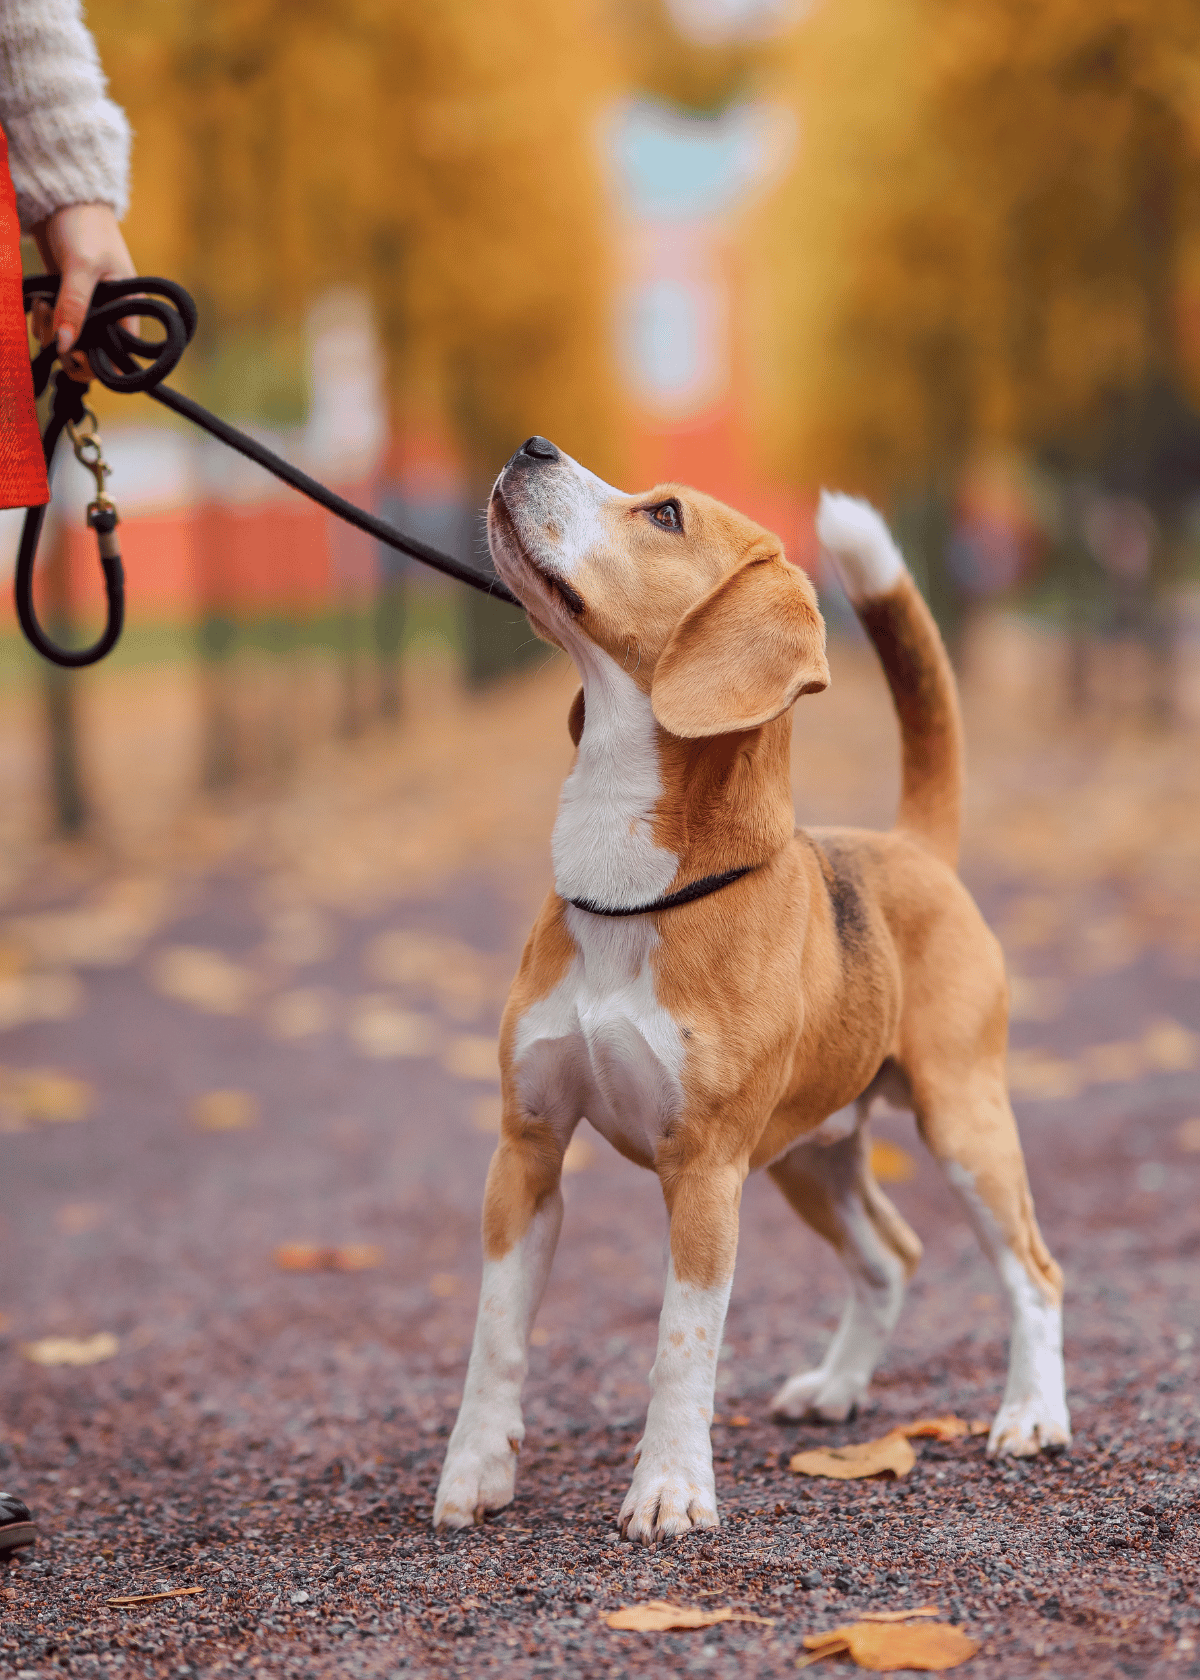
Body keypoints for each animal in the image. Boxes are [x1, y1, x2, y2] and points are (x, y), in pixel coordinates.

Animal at [433, 440, 1068, 1538]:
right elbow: (496, 1335)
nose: (531, 448)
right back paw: (839, 1388)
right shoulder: (526, 1151)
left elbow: (681, 1347)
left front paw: (669, 1489)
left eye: (666, 516)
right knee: (890, 1257)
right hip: (809, 1157)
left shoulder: (705, 1174)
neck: (633, 893)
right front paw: (475, 1471)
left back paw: (1032, 1415)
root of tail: (911, 845)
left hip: (962, 1123)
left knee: (1035, 1272)